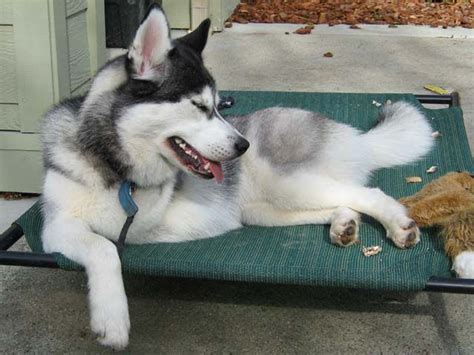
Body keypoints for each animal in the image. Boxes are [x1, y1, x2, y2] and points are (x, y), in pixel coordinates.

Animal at [40, 4, 434, 352]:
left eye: (218, 105)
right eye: (199, 106)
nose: (242, 145)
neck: (115, 169)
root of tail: (354, 135)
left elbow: (107, 245)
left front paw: (112, 321)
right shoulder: (56, 228)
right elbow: (104, 248)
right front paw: (112, 316)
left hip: (288, 182)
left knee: (369, 192)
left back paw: (398, 225)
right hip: (262, 209)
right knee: (343, 202)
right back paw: (343, 224)